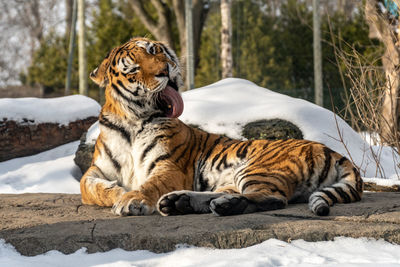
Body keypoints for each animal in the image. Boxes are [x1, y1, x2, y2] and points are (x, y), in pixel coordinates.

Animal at [79, 37, 364, 218]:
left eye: (154, 50)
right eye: (134, 69)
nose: (165, 70)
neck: (133, 120)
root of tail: (335, 153)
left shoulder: (169, 166)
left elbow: (150, 184)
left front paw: (131, 199)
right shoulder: (96, 170)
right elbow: (89, 187)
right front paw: (118, 193)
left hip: (257, 168)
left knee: (272, 198)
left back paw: (222, 206)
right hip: (233, 178)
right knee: (227, 195)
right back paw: (180, 202)